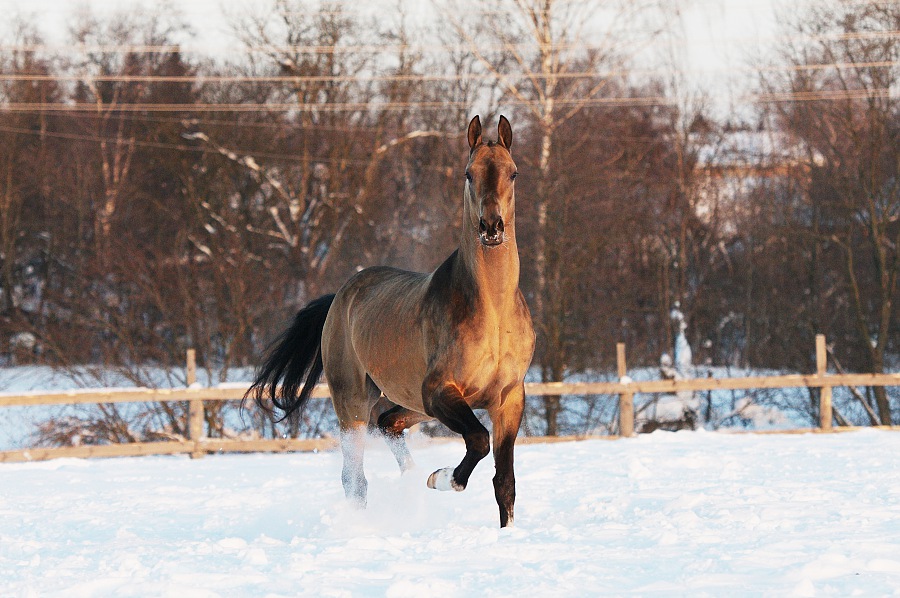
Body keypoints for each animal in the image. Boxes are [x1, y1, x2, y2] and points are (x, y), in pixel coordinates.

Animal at [244, 115, 536, 528]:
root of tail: (341, 296)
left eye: (513, 173)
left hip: (410, 401)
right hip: (355, 401)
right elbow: (478, 440)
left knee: (387, 424)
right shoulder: (440, 391)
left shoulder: (508, 399)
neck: (492, 312)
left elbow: (505, 483)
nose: (491, 227)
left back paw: (411, 480)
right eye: (469, 173)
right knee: (355, 476)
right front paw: (441, 478)